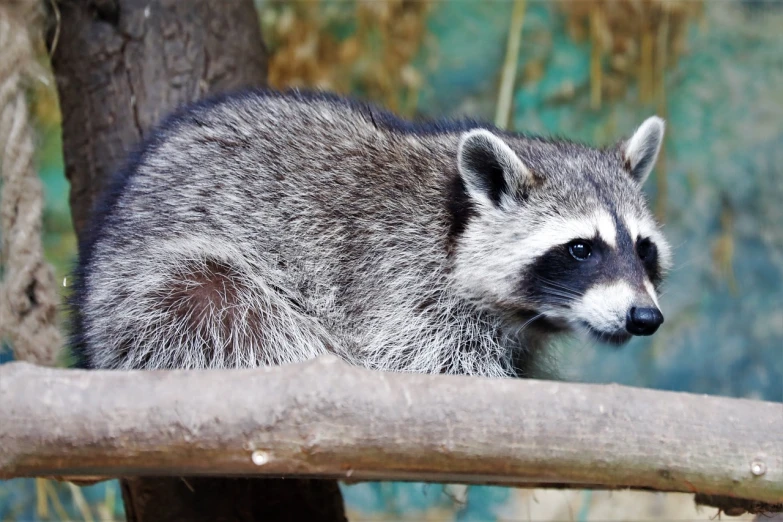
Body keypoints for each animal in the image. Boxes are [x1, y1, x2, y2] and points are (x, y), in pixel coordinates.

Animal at [73, 88, 672, 374]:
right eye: (581, 249)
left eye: (643, 251)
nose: (645, 317)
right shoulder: (399, 283)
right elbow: (420, 359)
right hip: (149, 293)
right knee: (224, 308)